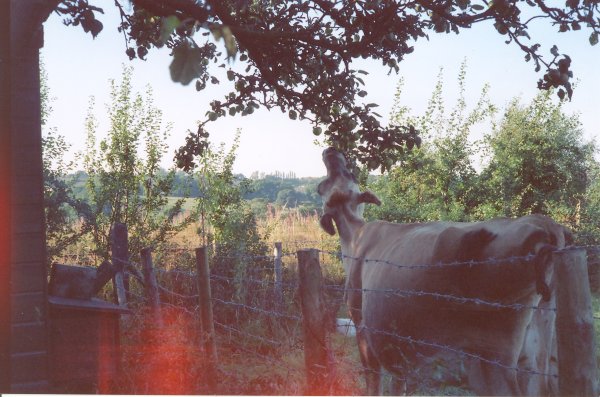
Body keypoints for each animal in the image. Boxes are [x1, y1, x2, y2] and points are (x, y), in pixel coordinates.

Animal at [316, 147, 568, 394]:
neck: (354, 236)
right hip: (542, 355)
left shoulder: (361, 327)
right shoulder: (397, 356)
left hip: (491, 357)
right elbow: (398, 383)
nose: (331, 150)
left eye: (350, 174)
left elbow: (373, 382)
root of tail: (546, 226)